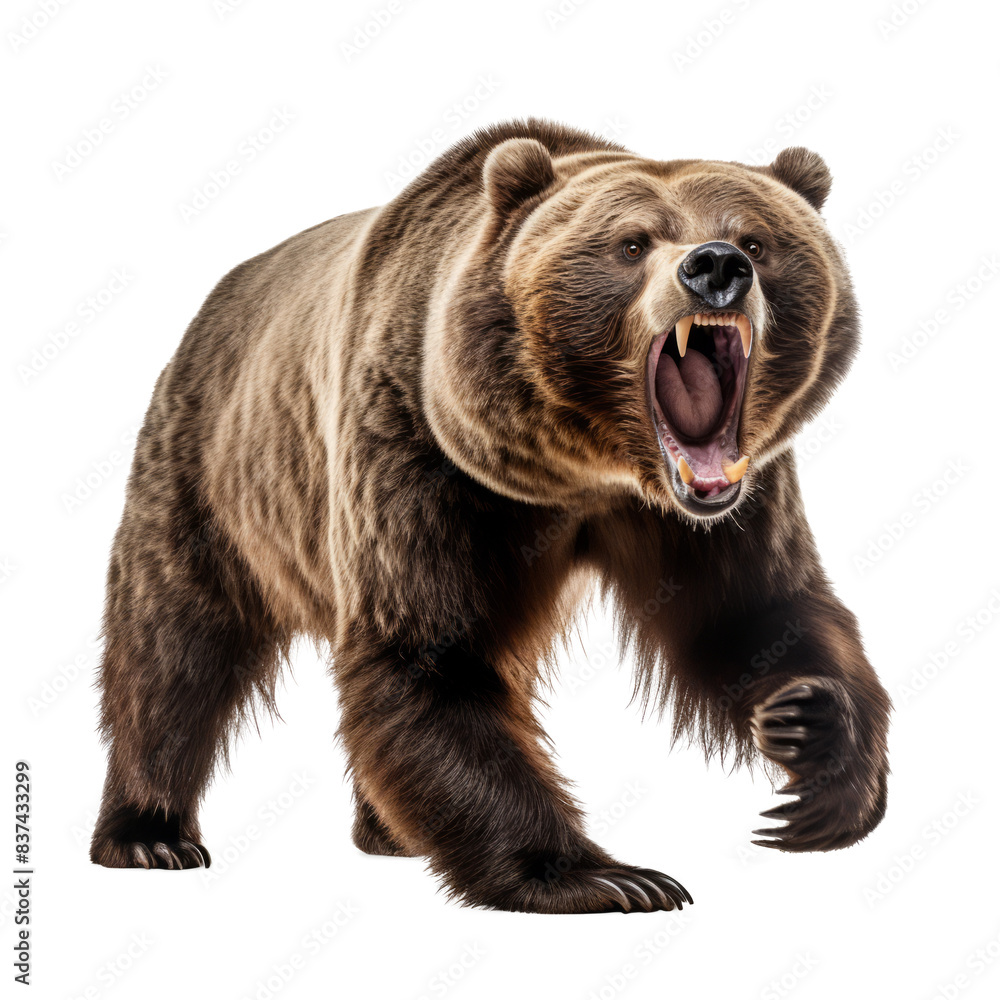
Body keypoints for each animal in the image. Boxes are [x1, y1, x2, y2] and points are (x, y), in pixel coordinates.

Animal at [90, 118, 891, 914]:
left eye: (755, 240)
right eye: (632, 243)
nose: (715, 266)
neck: (585, 474)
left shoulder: (721, 507)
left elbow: (752, 614)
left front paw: (811, 734)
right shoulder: (415, 450)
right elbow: (428, 655)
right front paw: (606, 875)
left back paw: (389, 832)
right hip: (212, 470)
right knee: (173, 647)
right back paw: (149, 831)